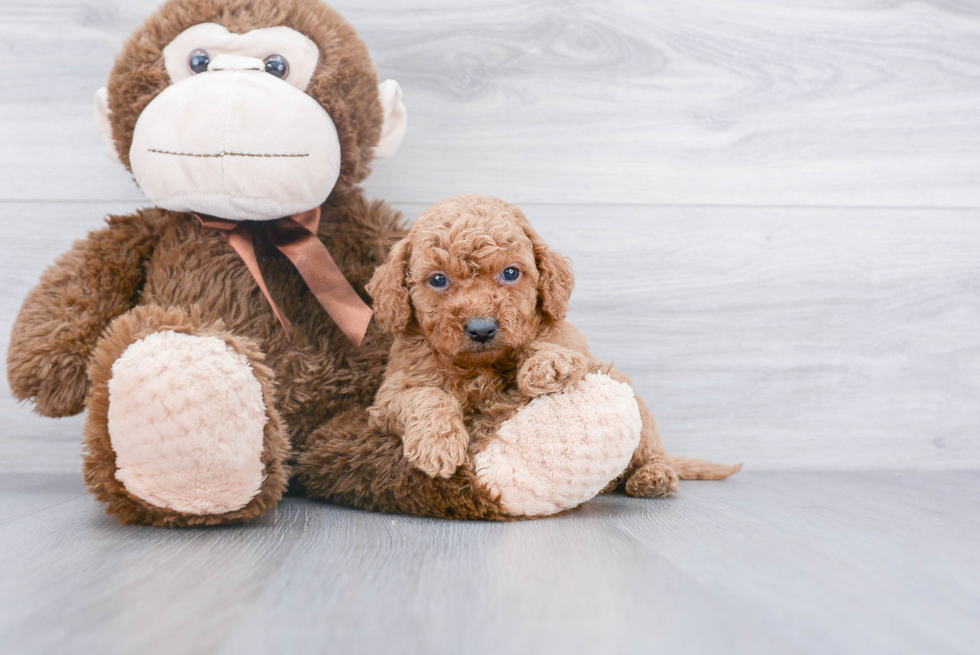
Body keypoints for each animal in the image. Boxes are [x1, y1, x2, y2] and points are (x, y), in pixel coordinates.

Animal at [368, 195, 744, 498]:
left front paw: (546, 364)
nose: (481, 328)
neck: (482, 365)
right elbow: (425, 396)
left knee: (650, 448)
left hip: (641, 415)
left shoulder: (572, 343)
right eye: (437, 280)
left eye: (510, 273)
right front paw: (438, 444)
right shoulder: (390, 395)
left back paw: (655, 476)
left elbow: (545, 342)